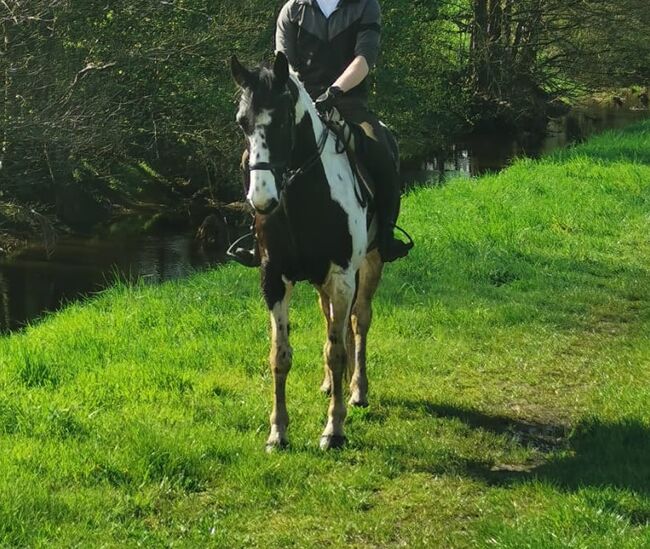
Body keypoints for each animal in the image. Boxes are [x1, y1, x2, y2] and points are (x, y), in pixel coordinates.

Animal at [230, 51, 384, 450]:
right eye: (242, 122)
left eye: (283, 119)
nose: (262, 199)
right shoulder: (273, 279)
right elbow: (280, 355)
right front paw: (278, 431)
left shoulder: (343, 277)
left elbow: (337, 350)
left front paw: (334, 428)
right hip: (320, 282)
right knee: (332, 320)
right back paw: (333, 385)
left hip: (370, 264)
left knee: (359, 321)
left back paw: (357, 389)